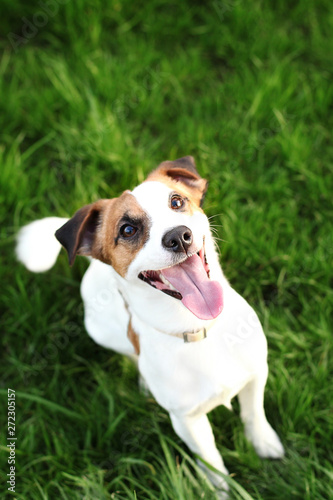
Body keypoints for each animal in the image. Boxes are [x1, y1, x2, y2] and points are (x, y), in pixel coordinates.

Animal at [16, 155, 282, 496]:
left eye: (177, 201)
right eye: (128, 229)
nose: (179, 236)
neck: (195, 330)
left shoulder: (256, 373)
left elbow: (254, 413)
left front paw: (263, 442)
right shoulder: (187, 421)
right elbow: (211, 459)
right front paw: (219, 490)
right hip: (100, 332)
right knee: (130, 354)